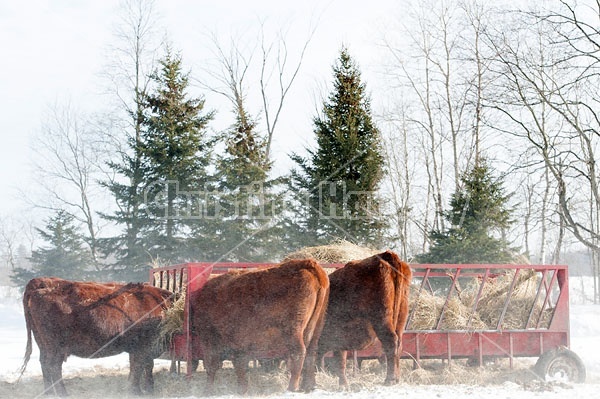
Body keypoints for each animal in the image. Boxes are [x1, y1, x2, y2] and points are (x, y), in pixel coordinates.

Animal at [19, 278, 173, 396]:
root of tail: (41, 284)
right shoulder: (144, 347)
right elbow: (141, 367)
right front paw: (138, 391)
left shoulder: (139, 349)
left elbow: (141, 367)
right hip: (55, 348)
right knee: (53, 366)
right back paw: (63, 393)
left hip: (43, 345)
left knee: (44, 364)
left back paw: (49, 393)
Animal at [191, 260, 328, 394]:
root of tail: (307, 264)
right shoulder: (239, 343)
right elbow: (239, 364)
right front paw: (242, 389)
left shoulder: (210, 338)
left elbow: (213, 365)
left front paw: (208, 390)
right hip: (316, 328)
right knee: (311, 352)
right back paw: (309, 386)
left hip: (294, 331)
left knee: (299, 352)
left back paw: (292, 387)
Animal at [318, 253, 412, 388]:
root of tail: (387, 256)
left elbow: (339, 360)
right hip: (399, 322)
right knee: (398, 345)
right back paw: (397, 378)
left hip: (382, 321)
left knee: (391, 342)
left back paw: (389, 379)